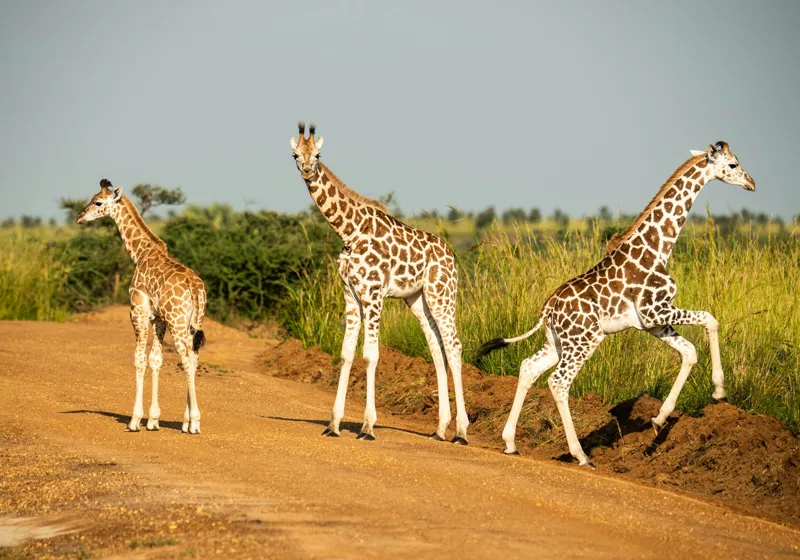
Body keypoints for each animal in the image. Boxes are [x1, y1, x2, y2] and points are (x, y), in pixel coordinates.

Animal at [77, 179, 207, 434]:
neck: (140, 253)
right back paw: (186, 421)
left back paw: (195, 423)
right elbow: (155, 359)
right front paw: (153, 420)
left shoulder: (137, 311)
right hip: (192, 323)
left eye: (98, 202)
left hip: (178, 323)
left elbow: (139, 359)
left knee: (187, 360)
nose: (79, 217)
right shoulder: (158, 319)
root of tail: (195, 290)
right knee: (194, 358)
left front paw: (135, 420)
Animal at [290, 122, 469, 443]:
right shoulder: (350, 294)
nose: (308, 171)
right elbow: (346, 353)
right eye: (295, 155)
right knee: (437, 349)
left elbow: (370, 355)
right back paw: (439, 428)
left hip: (442, 295)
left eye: (319, 155)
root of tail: (451, 256)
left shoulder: (373, 293)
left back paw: (461, 431)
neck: (349, 232)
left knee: (454, 346)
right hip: (418, 300)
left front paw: (367, 426)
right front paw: (333, 424)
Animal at [478, 141, 755, 467]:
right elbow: (711, 319)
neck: (659, 248)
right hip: (585, 340)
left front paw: (659, 419)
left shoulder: (651, 322)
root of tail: (547, 310)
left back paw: (510, 442)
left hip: (558, 342)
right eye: (733, 164)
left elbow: (689, 352)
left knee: (528, 368)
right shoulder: (656, 310)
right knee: (558, 382)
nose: (752, 183)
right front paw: (719, 391)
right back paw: (581, 454)